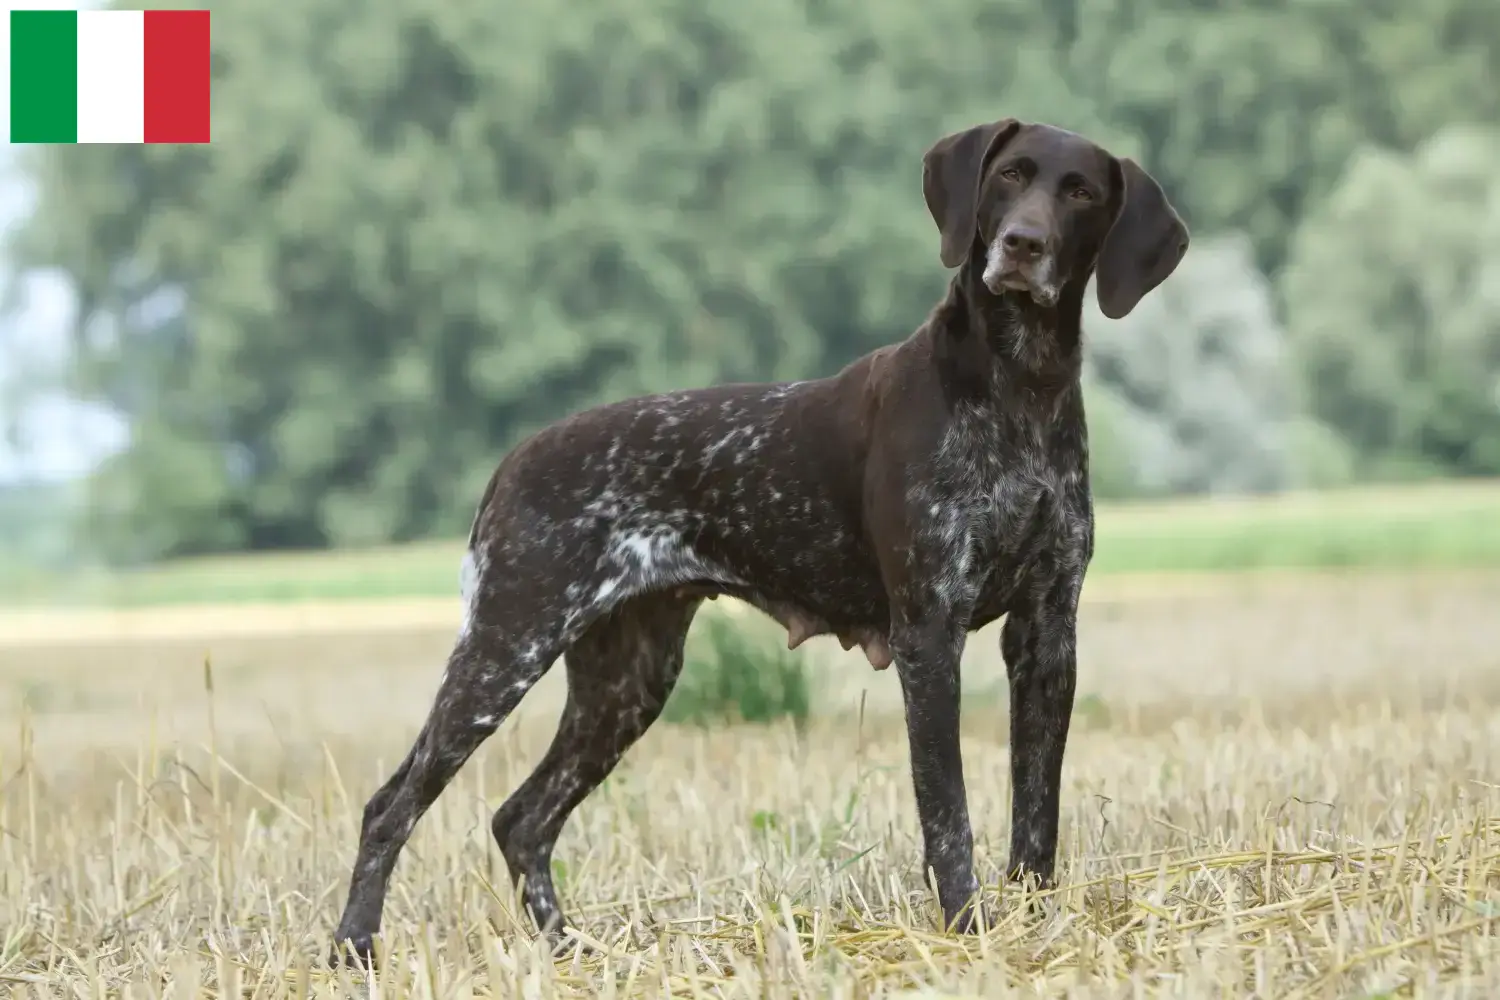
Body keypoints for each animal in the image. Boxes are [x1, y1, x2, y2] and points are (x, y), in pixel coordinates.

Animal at [328, 119, 1182, 971]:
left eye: (1080, 192)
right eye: (1009, 175)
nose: (1022, 244)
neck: (1019, 387)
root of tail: (514, 460)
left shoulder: (1046, 632)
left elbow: (1036, 812)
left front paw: (1035, 929)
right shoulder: (929, 631)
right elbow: (949, 813)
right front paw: (966, 930)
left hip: (627, 679)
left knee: (522, 819)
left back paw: (571, 950)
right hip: (507, 649)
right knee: (391, 806)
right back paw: (353, 949)